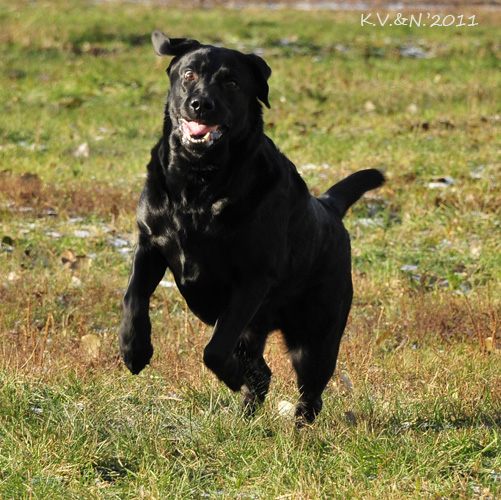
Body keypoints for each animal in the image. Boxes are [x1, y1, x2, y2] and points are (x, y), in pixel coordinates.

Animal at [119, 29, 384, 424]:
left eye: (231, 82)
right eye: (188, 75)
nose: (201, 104)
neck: (199, 185)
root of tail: (329, 206)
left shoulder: (251, 281)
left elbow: (215, 349)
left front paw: (231, 375)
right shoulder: (150, 244)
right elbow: (134, 297)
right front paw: (133, 349)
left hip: (316, 335)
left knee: (309, 389)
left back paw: (295, 423)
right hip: (261, 329)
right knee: (262, 368)